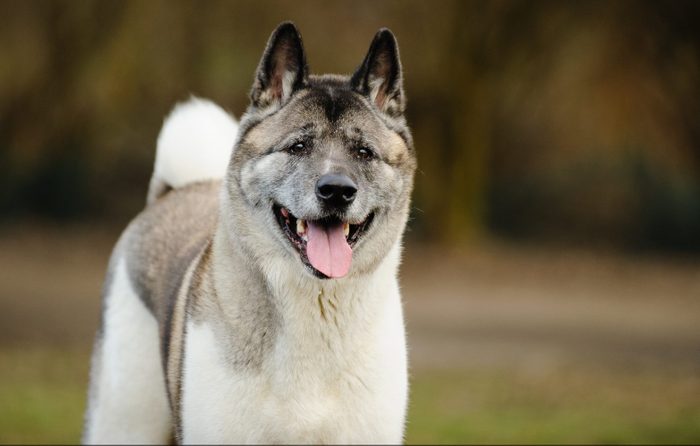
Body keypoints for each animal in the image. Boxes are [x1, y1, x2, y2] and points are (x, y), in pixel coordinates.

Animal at [82, 20, 416, 442]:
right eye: (298, 146)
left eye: (364, 152)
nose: (337, 190)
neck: (315, 304)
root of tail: (174, 191)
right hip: (123, 421)